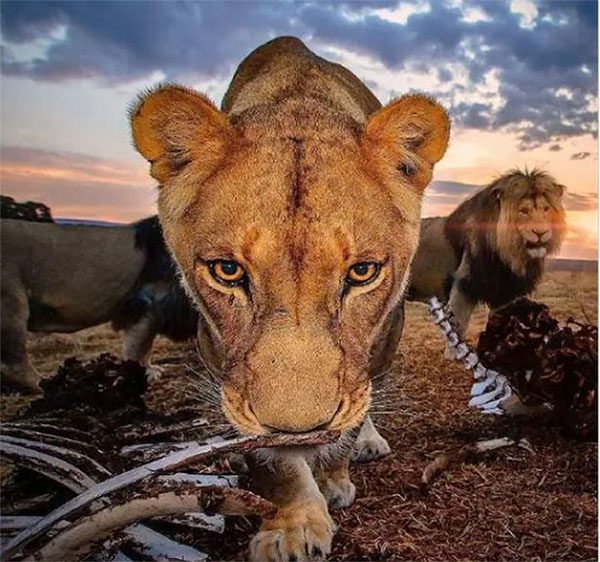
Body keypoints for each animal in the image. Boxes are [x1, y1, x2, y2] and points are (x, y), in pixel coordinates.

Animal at [131, 37, 450, 556]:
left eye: (362, 272)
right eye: (227, 271)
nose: (299, 431)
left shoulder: (382, 337)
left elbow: (352, 418)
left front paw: (335, 478)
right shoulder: (217, 351)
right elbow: (272, 460)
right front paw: (292, 524)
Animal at [410, 167, 564, 336]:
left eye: (546, 209)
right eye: (523, 211)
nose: (541, 232)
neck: (509, 255)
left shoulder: (504, 296)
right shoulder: (463, 288)